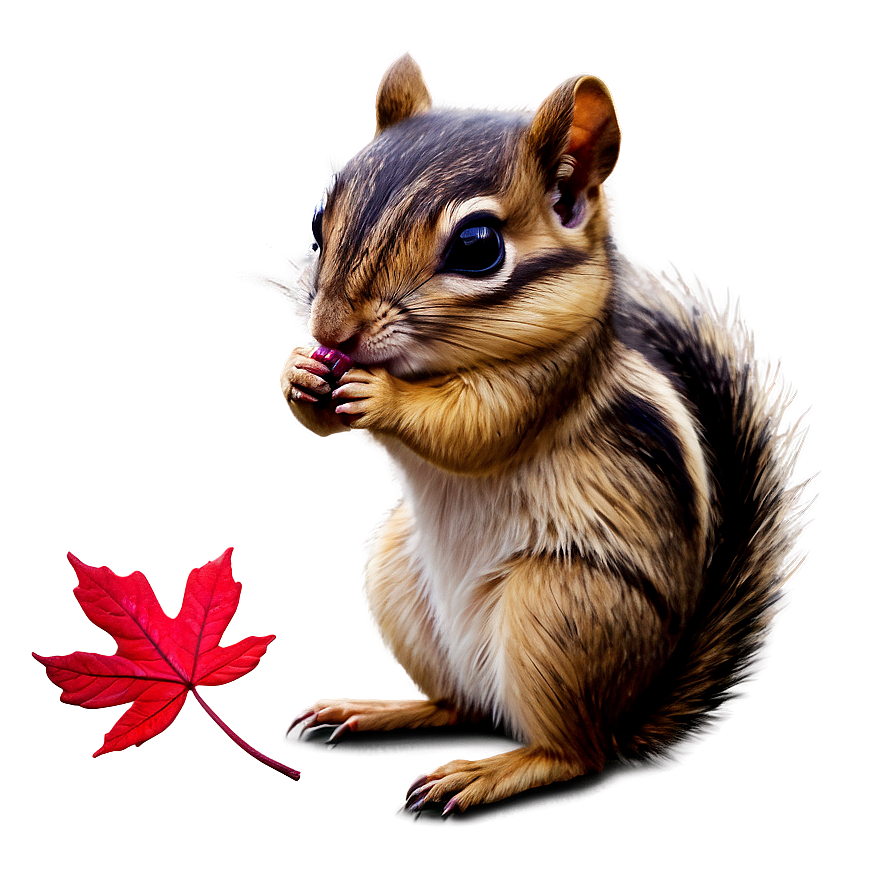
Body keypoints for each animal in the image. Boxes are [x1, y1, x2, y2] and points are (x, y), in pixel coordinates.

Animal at [280, 51, 806, 814]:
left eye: (477, 247)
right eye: (319, 221)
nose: (331, 331)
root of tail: (629, 713)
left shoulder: (544, 387)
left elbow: (475, 428)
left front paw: (382, 395)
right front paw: (299, 374)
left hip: (559, 612)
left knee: (575, 754)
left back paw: (488, 772)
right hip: (398, 576)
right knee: (461, 705)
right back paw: (380, 710)